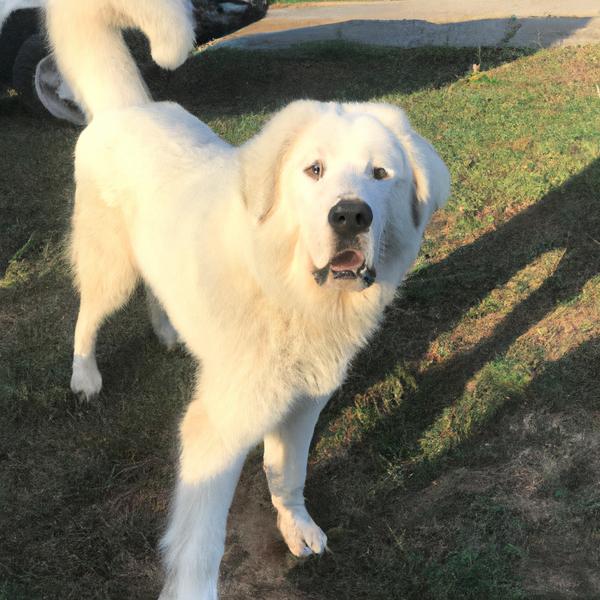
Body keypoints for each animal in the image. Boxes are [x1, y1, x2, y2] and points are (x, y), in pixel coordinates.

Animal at [47, 2, 450, 596]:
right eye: (314, 170)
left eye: (380, 174)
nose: (351, 215)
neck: (285, 291)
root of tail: (128, 107)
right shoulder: (217, 428)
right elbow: (202, 545)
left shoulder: (305, 401)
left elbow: (287, 473)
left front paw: (295, 525)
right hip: (110, 270)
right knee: (87, 316)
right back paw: (84, 376)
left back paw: (168, 332)